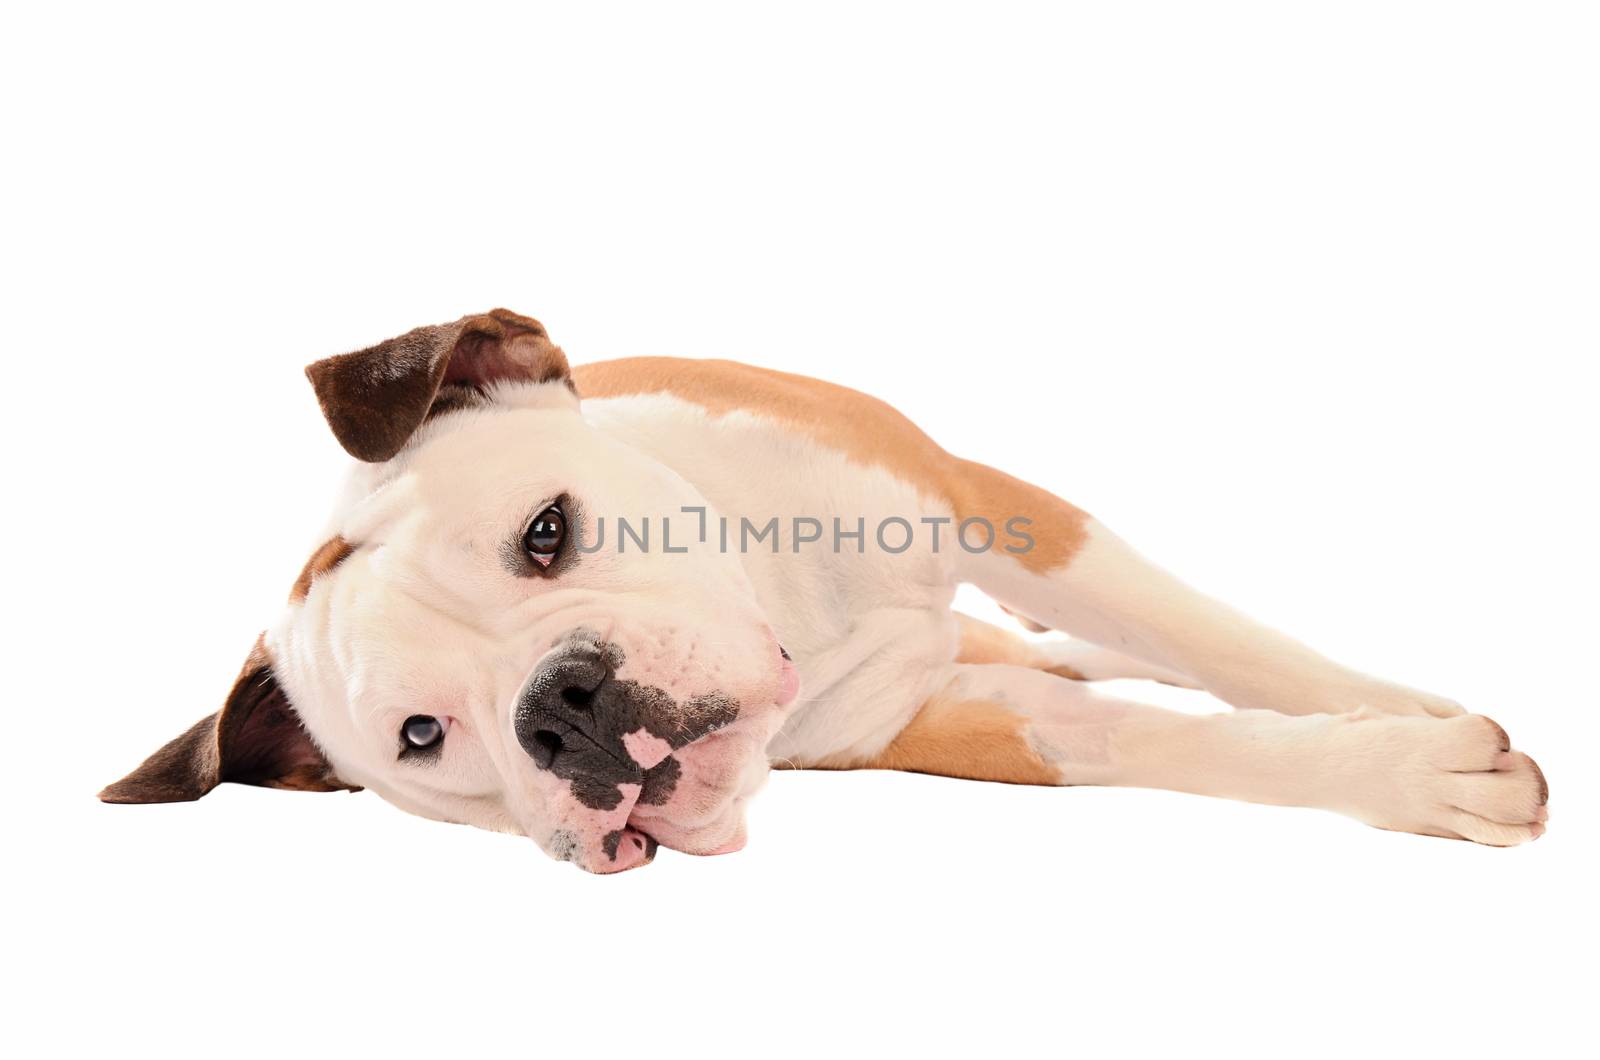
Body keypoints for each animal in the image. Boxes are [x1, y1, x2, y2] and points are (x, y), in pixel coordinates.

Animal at [103, 307, 1548, 871]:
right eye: (420, 734)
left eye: (546, 533)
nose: (562, 709)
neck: (788, 593)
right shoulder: (965, 723)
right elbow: (1149, 740)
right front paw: (1403, 770)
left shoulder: (1002, 512)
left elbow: (1221, 643)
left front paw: (1404, 719)